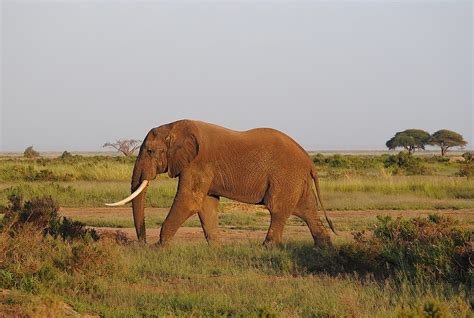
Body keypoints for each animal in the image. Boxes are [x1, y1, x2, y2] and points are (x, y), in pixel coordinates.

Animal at [109, 119, 336, 246]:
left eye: (149, 151)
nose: (142, 244)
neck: (173, 127)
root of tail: (309, 160)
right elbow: (206, 205)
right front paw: (216, 249)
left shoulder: (198, 163)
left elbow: (189, 201)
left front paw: (159, 248)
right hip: (297, 180)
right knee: (306, 210)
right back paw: (324, 250)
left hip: (285, 177)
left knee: (278, 210)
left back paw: (267, 248)